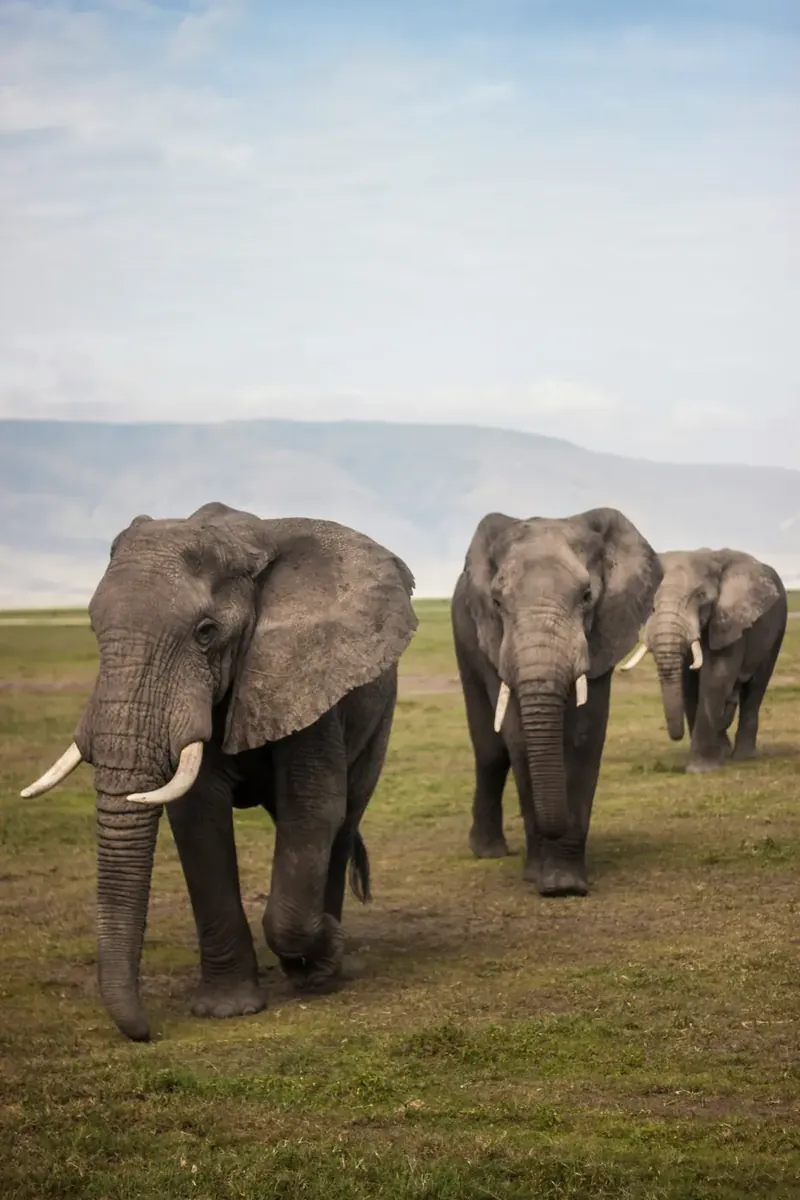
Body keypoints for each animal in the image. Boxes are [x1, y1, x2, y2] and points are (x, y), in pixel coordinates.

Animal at [20, 502, 417, 1042]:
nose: (145, 1031)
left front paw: (322, 954)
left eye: (205, 633)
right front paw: (226, 1009)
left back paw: (323, 967)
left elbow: (313, 809)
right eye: (93, 629)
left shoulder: (302, 671)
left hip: (380, 714)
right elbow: (198, 817)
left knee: (344, 818)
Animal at [451, 506, 662, 897]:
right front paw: (541, 878)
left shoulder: (603, 632)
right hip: (464, 638)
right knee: (490, 752)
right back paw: (488, 852)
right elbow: (519, 741)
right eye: (497, 602)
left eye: (587, 595)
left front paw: (565, 884)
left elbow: (584, 736)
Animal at [620, 548, 787, 772]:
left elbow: (716, 676)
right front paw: (715, 758)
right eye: (649, 604)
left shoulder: (728, 620)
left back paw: (743, 756)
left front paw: (700, 770)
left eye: (700, 597)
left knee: (756, 688)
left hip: (778, 628)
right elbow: (689, 685)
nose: (677, 735)